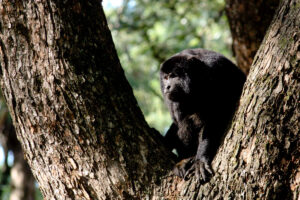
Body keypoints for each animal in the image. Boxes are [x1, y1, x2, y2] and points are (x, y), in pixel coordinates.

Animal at [161, 48, 245, 181]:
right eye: (165, 78)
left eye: (173, 76)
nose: (167, 87)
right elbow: (177, 123)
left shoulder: (216, 71)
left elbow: (217, 116)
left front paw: (200, 159)